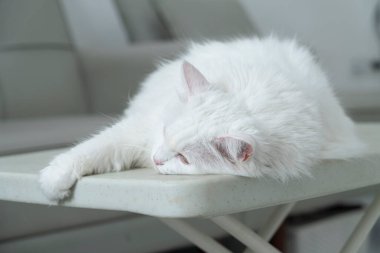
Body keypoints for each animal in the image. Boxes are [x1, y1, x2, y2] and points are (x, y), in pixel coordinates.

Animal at [38, 36, 366, 201]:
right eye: (165, 131)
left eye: (184, 158)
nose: (156, 160)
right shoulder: (139, 131)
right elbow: (90, 150)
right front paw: (53, 183)